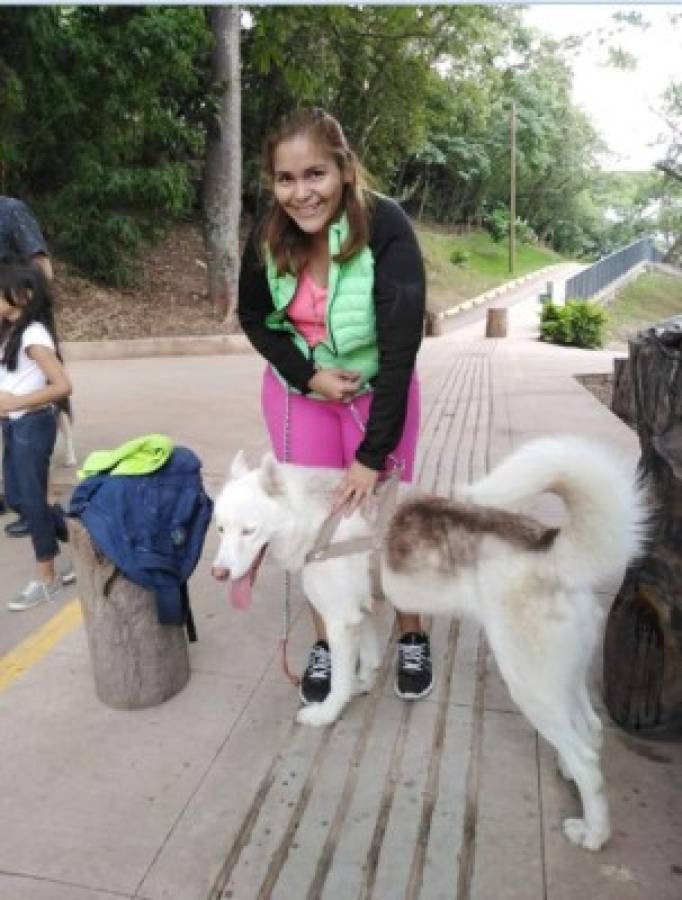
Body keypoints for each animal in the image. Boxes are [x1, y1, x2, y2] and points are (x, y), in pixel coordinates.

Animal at [211, 436, 644, 852]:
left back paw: (594, 832)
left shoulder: (338, 619)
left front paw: (329, 711)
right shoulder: (358, 614)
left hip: (532, 687)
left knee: (588, 759)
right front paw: (363, 683)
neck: (317, 517)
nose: (218, 574)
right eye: (220, 529)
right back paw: (570, 770)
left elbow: (339, 683)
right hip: (561, 680)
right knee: (591, 730)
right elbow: (365, 658)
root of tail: (555, 549)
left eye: (248, 530)